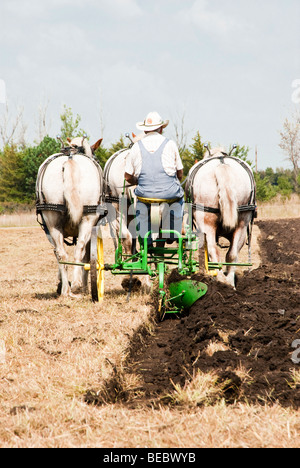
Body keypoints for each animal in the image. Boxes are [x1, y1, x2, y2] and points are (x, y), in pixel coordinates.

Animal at [36, 135, 103, 296]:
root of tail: (70, 159)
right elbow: (86, 256)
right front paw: (84, 285)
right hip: (87, 219)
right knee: (78, 250)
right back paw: (76, 285)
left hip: (52, 221)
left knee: (62, 254)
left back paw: (66, 289)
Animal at [188, 146, 255, 288]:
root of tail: (222, 163)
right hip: (242, 223)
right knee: (232, 254)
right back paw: (229, 283)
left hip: (207, 223)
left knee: (214, 252)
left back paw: (218, 279)